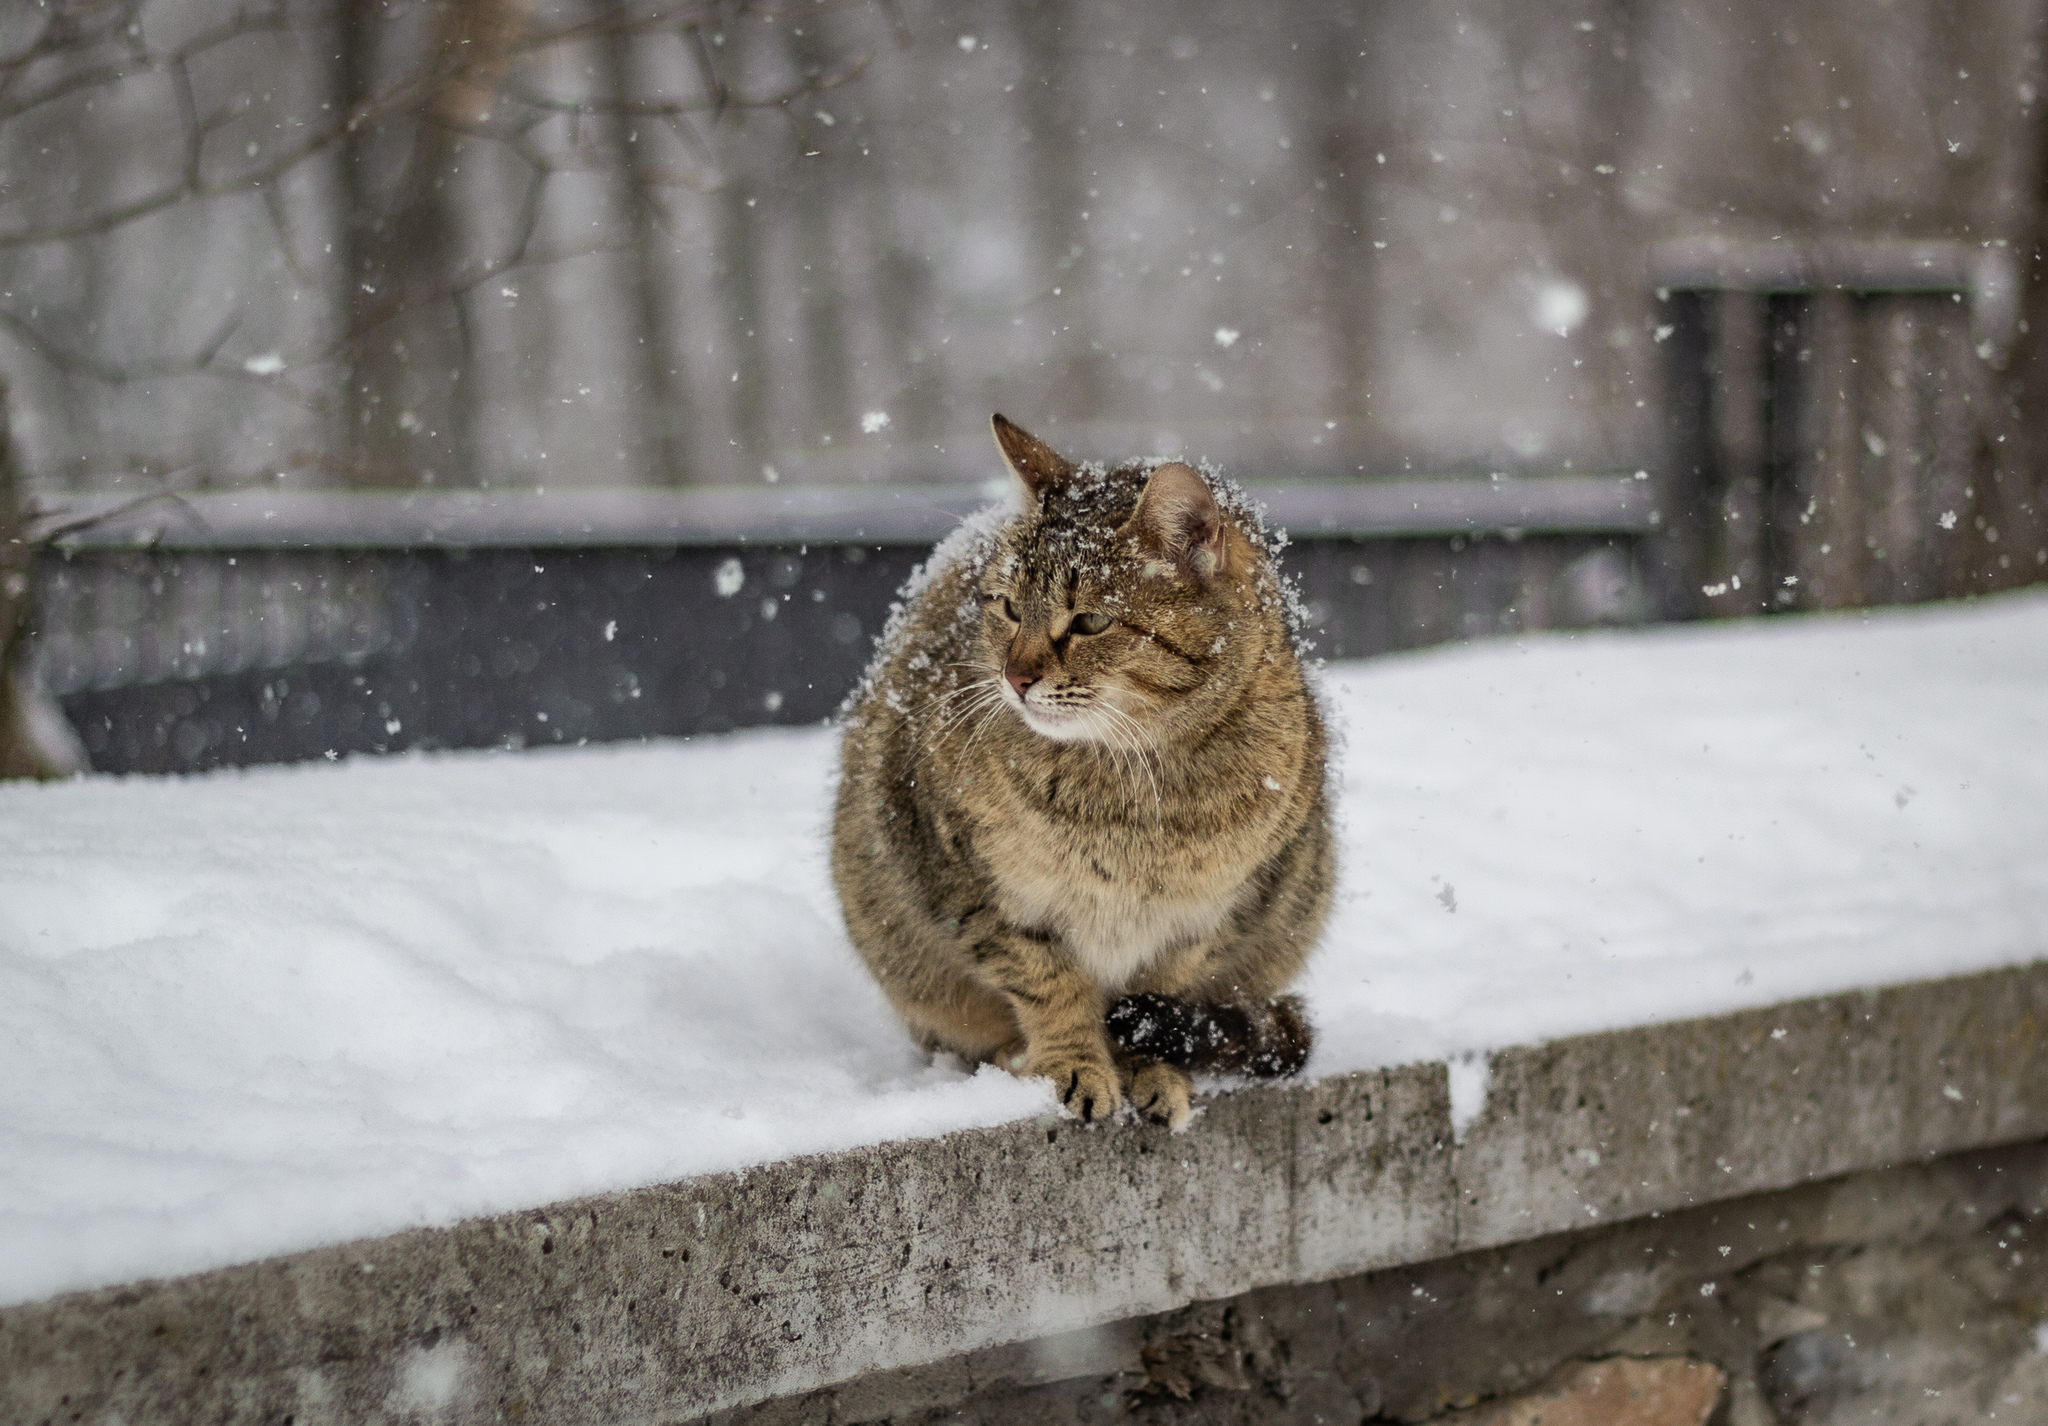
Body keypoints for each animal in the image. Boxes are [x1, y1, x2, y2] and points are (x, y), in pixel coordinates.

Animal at [827, 417, 1327, 1130]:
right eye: (1008, 607)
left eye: (1090, 620)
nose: (1015, 677)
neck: (1130, 786)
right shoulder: (976, 885)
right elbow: (1048, 983)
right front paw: (1072, 1066)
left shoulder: (1207, 917)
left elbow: (1156, 1000)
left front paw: (1152, 1072)